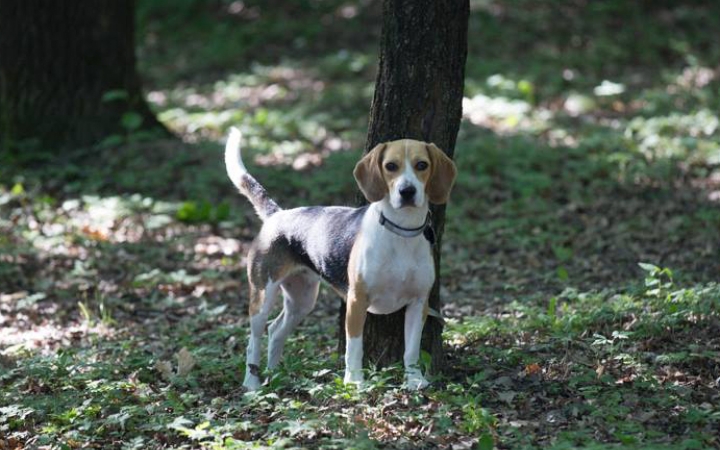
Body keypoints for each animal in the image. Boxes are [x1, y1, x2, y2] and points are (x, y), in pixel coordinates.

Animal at [225, 126, 456, 390]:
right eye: (391, 166)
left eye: (421, 164)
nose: (407, 191)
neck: (401, 231)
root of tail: (278, 215)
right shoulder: (357, 301)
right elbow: (354, 347)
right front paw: (354, 381)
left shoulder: (419, 303)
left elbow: (412, 349)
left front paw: (414, 379)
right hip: (262, 295)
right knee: (253, 340)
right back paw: (252, 384)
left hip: (302, 300)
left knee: (275, 330)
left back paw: (274, 375)